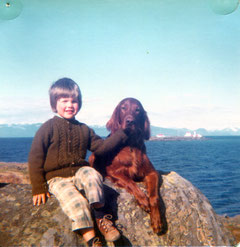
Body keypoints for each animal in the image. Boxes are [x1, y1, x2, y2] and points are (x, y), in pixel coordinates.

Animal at [89, 97, 163, 233]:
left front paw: (156, 220)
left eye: (137, 110)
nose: (130, 121)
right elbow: (130, 182)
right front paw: (143, 199)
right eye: (123, 107)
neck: (130, 144)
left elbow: (154, 197)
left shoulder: (151, 173)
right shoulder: (112, 172)